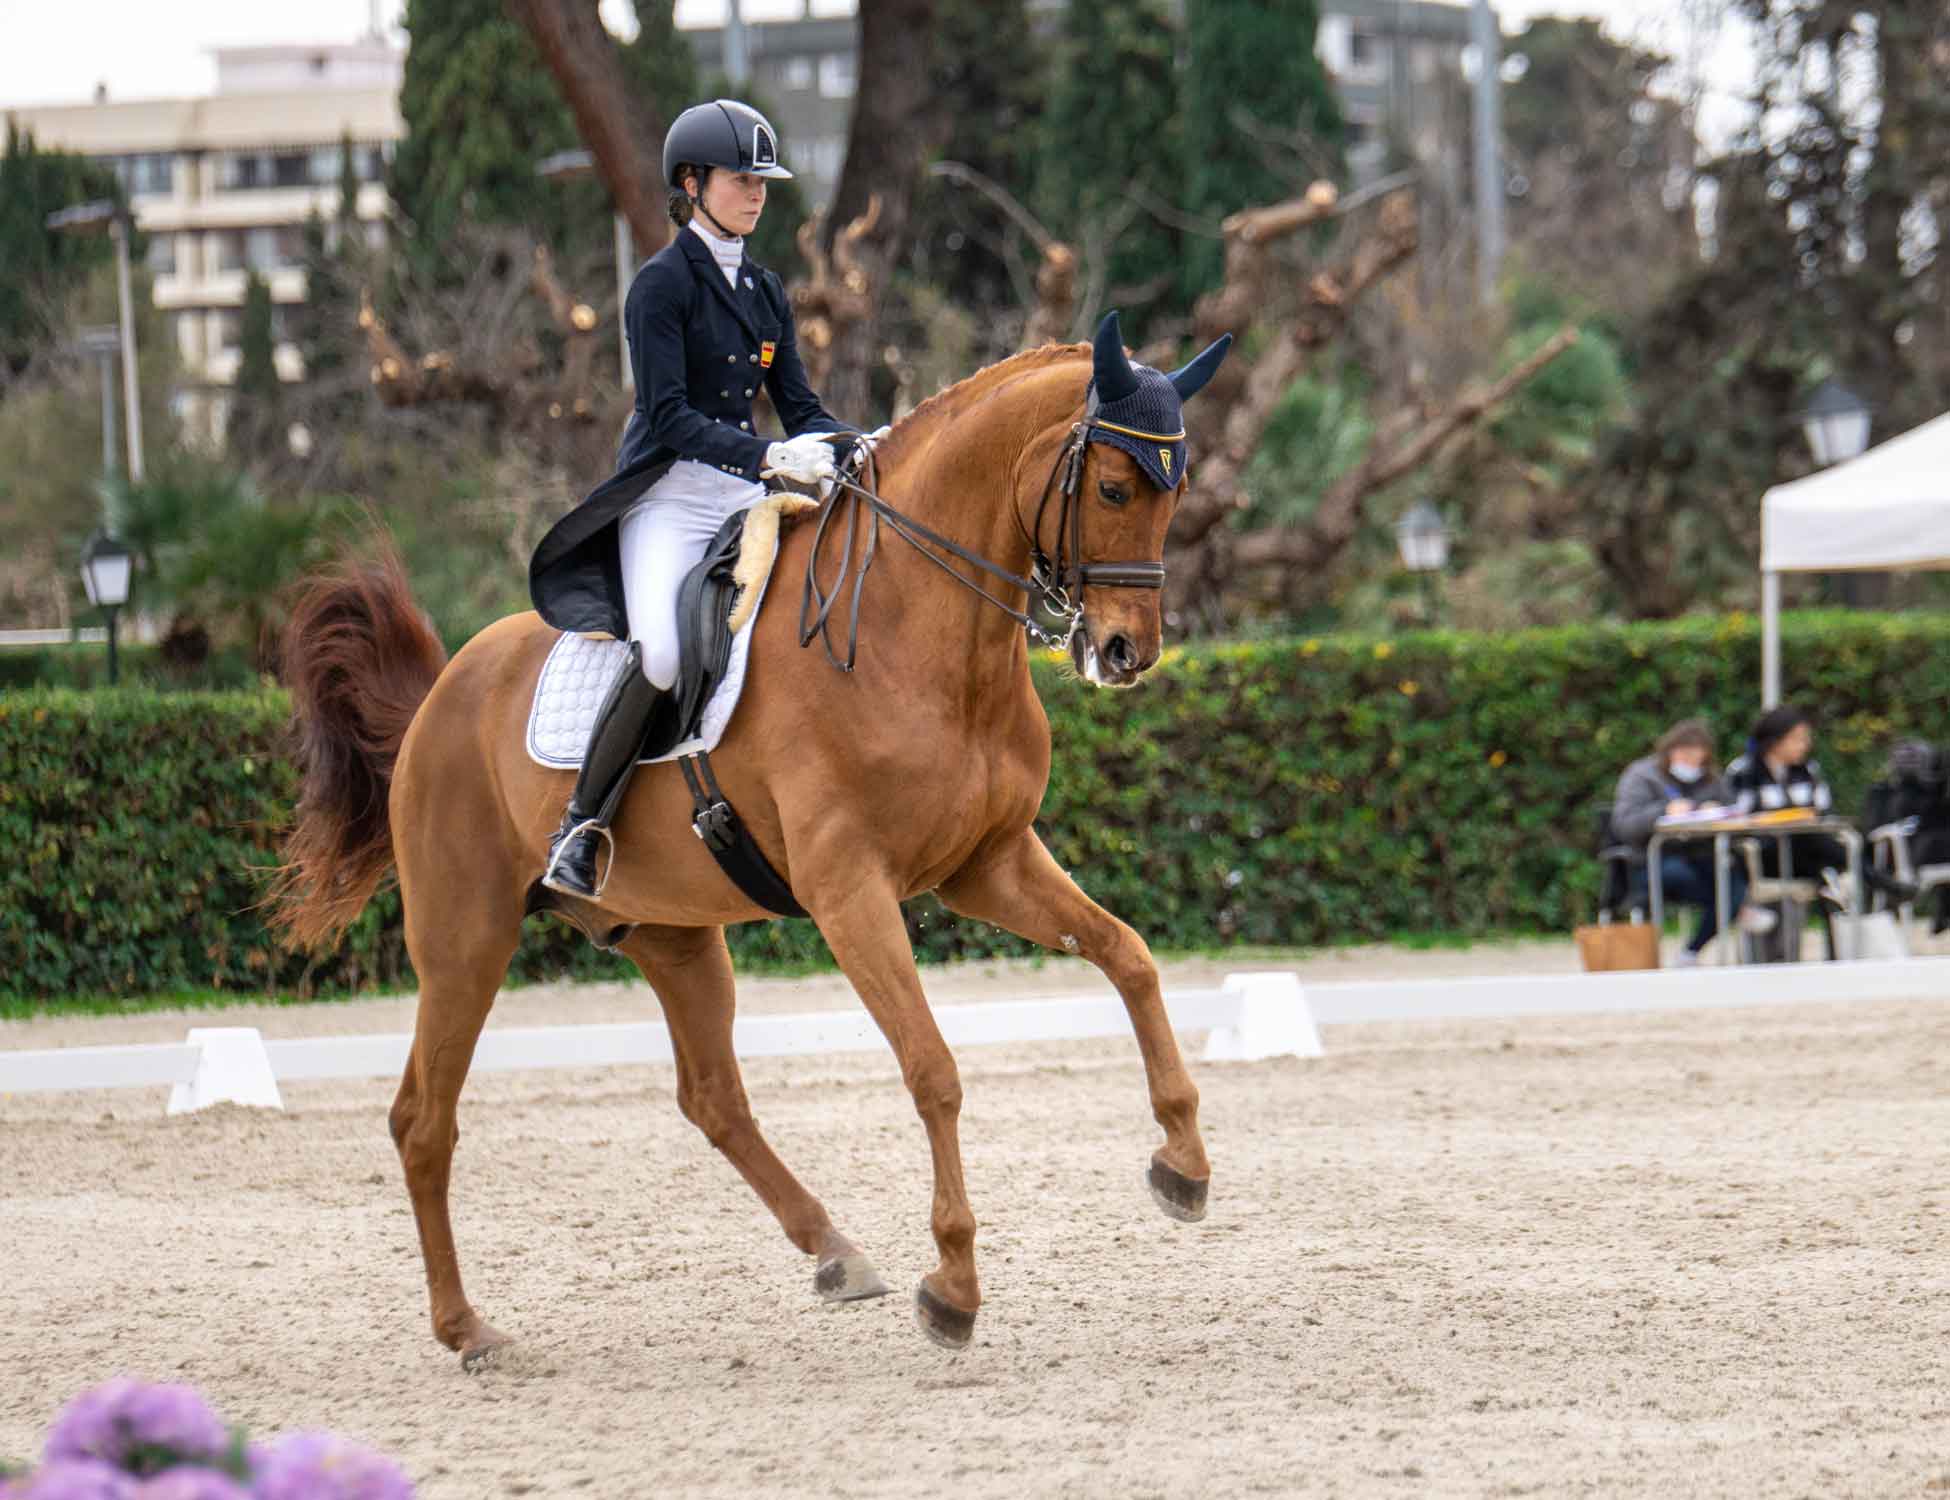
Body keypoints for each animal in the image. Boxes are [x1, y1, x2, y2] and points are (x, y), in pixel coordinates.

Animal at [274, 333, 1209, 1365]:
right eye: (1115, 488)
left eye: (1176, 493)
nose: (1126, 654)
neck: (915, 635)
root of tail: (440, 694)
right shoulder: (850, 892)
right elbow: (933, 1070)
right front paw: (954, 1287)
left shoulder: (989, 864)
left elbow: (1129, 956)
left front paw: (1183, 1164)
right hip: (464, 939)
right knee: (422, 1120)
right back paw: (467, 1328)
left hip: (671, 935)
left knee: (712, 1097)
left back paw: (837, 1252)